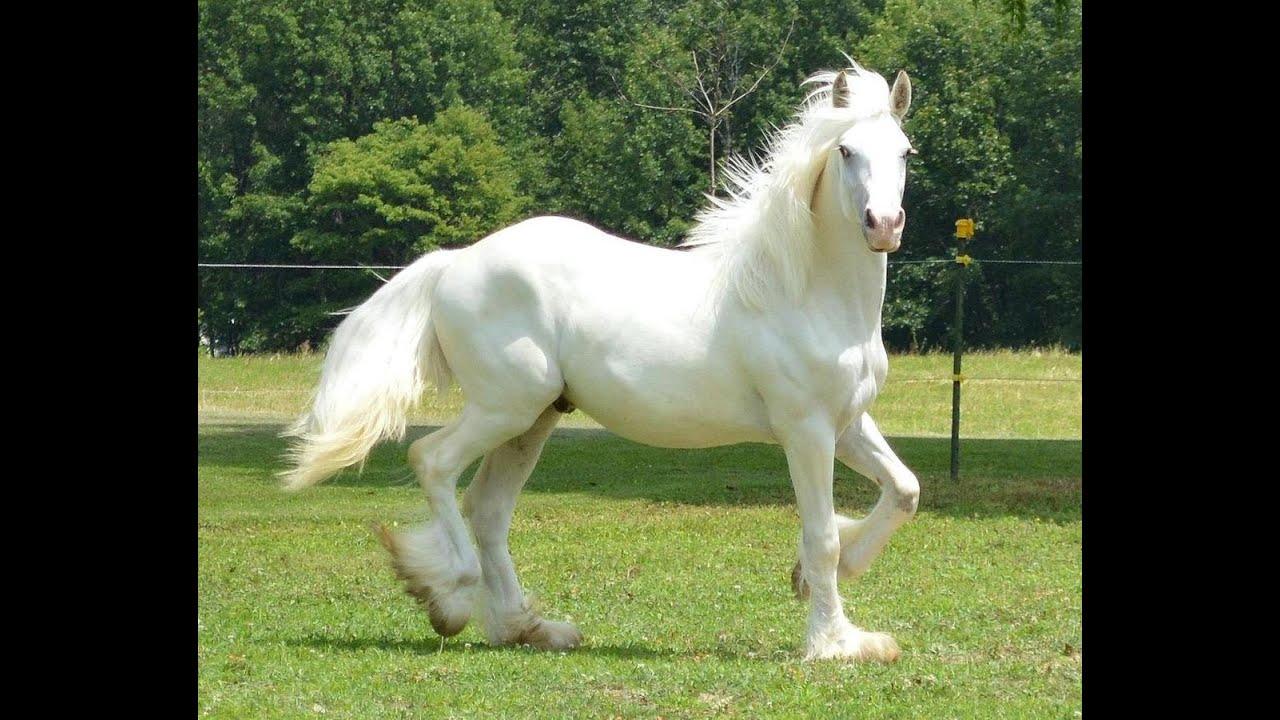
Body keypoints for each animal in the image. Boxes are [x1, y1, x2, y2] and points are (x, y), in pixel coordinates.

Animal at [282, 59, 918, 662]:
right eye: (846, 150)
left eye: (905, 152)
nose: (883, 226)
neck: (806, 293)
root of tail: (454, 263)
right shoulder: (805, 429)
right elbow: (821, 536)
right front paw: (834, 641)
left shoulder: (847, 423)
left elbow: (903, 490)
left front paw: (815, 583)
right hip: (506, 407)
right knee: (432, 461)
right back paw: (447, 597)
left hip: (534, 418)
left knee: (487, 509)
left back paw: (527, 628)